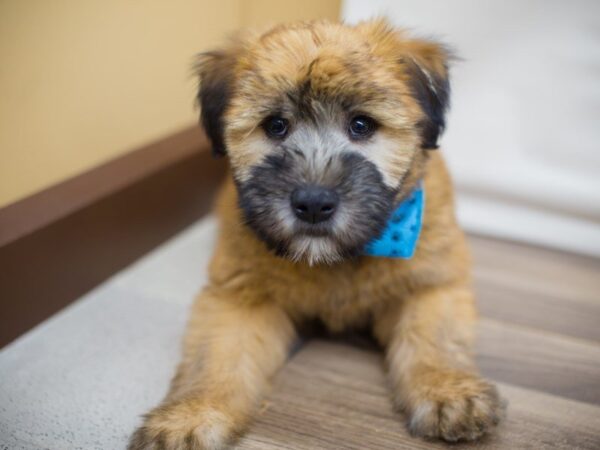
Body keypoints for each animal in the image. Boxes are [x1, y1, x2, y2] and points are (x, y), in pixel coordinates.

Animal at [129, 19, 504, 448]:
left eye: (361, 125)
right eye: (276, 126)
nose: (312, 203)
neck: (338, 260)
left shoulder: (431, 284)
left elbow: (433, 338)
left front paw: (448, 392)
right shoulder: (239, 295)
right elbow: (218, 354)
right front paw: (190, 415)